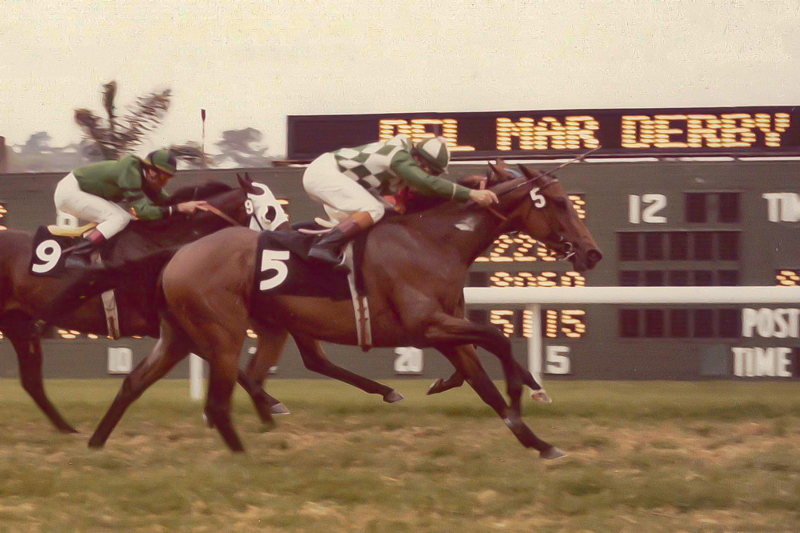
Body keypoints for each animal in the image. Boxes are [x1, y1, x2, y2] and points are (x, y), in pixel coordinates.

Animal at [89, 160, 600, 460]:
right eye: (559, 202)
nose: (591, 253)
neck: (432, 241)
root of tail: (177, 256)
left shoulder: (446, 330)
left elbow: (482, 382)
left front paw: (537, 441)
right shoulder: (428, 326)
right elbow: (497, 339)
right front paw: (523, 393)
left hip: (202, 331)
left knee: (141, 381)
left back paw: (96, 443)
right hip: (222, 332)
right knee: (225, 391)